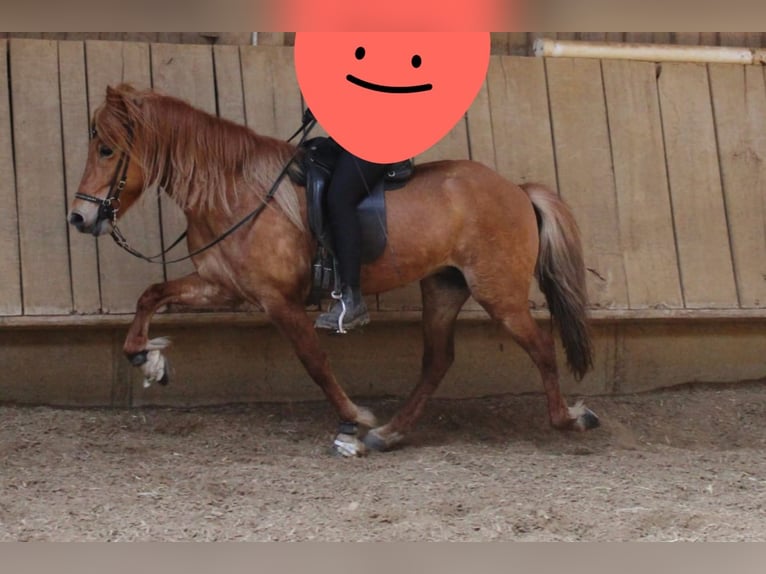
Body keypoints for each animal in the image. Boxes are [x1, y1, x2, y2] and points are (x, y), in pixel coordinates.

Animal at [68, 83, 600, 456]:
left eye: (107, 150)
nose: (80, 218)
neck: (236, 192)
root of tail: (515, 189)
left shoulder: (278, 301)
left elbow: (315, 361)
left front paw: (353, 416)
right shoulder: (224, 286)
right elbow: (152, 293)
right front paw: (148, 358)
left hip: (499, 292)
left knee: (540, 347)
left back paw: (570, 418)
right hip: (445, 287)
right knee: (438, 360)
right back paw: (391, 433)